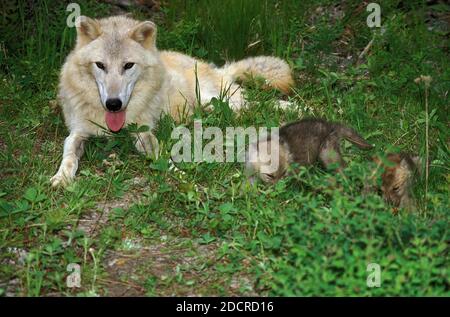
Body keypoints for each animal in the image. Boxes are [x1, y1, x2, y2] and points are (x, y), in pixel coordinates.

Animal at [51, 15, 294, 185]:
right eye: (100, 65)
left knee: (261, 103)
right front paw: (61, 177)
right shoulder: (77, 132)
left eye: (128, 65)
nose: (113, 104)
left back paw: (296, 108)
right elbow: (69, 154)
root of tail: (218, 68)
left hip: (222, 102)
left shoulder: (143, 132)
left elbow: (163, 156)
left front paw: (181, 176)